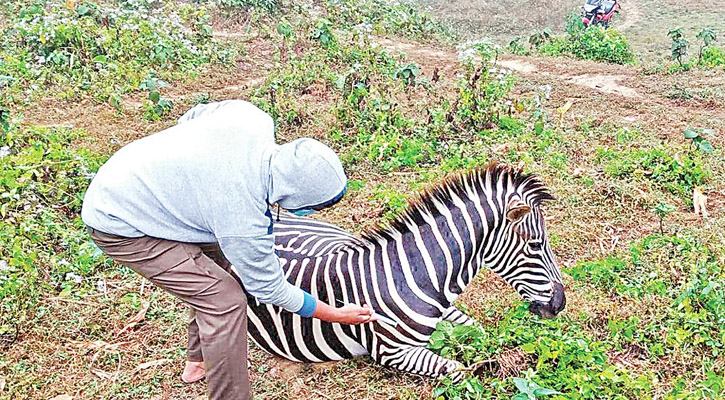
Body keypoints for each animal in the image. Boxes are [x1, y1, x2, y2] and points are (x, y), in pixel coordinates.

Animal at [243, 163, 564, 382]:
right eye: (536, 245)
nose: (560, 305)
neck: (416, 277)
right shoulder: (393, 352)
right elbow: (458, 369)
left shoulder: (448, 312)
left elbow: (478, 331)